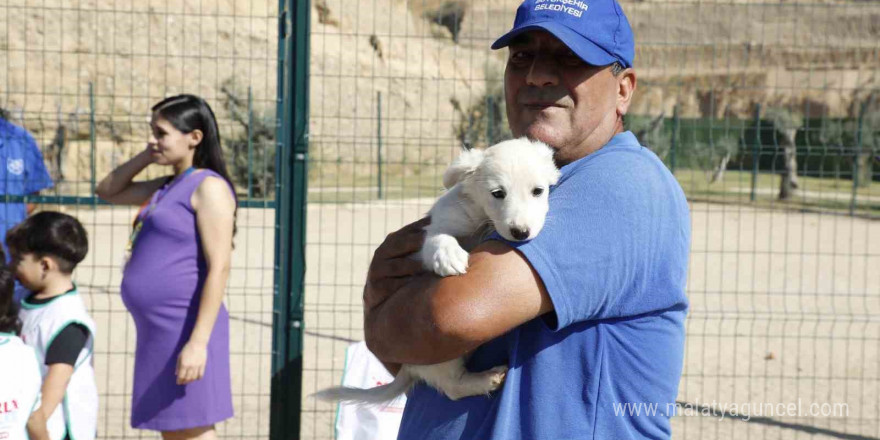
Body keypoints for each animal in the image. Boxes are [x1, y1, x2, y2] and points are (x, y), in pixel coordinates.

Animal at [320, 138, 560, 402]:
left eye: (538, 191)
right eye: (498, 193)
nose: (521, 233)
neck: (481, 218)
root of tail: (410, 367)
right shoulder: (435, 230)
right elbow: (439, 238)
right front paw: (449, 255)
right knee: (453, 387)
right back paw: (486, 379)